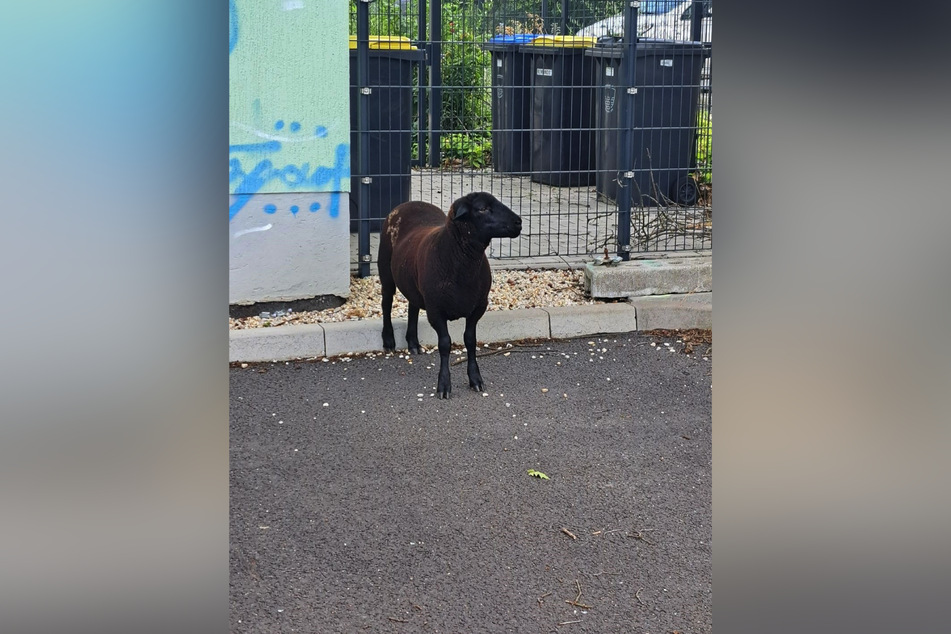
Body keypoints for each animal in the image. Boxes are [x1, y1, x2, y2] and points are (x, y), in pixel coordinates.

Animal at [380, 190, 524, 398]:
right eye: (482, 208)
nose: (518, 222)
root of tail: (410, 202)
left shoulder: (478, 307)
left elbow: (470, 340)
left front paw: (476, 380)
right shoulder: (435, 310)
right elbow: (445, 344)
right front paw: (444, 385)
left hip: (413, 280)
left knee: (412, 306)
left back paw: (413, 343)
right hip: (385, 269)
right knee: (386, 303)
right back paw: (389, 341)